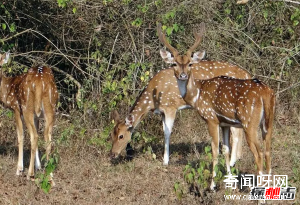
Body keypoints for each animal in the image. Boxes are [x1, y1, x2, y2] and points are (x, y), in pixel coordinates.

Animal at [0, 52, 58, 181]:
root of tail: (40, 80)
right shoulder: (36, 117)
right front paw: (38, 167)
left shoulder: (16, 108)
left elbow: (20, 136)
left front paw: (19, 169)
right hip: (51, 107)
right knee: (47, 137)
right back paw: (50, 174)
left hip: (27, 108)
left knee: (34, 136)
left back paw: (29, 174)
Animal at [109, 22, 251, 168]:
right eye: (111, 135)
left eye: (121, 135)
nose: (112, 154)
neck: (153, 99)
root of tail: (247, 74)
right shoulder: (162, 111)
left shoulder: (170, 106)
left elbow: (167, 132)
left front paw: (165, 161)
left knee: (237, 132)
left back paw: (233, 162)